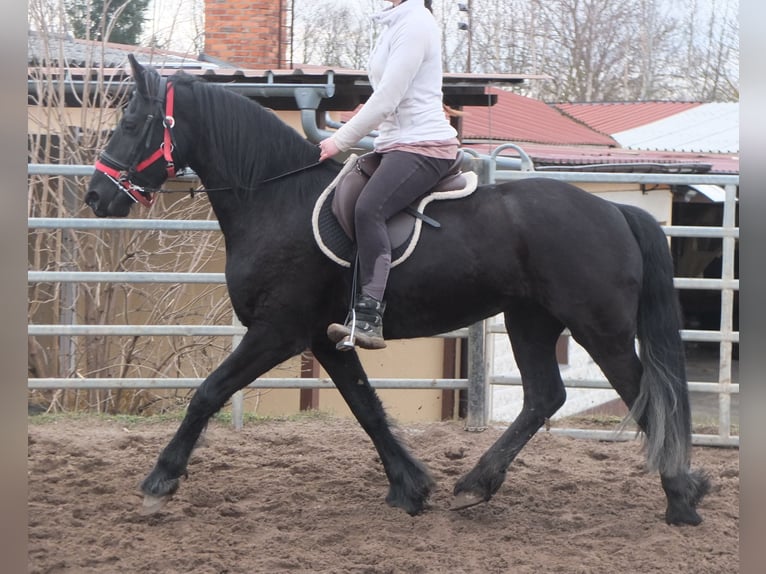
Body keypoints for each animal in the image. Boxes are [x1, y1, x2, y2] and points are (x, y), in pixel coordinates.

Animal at [82, 57, 708, 528]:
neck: (275, 199)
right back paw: (476, 484)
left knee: (642, 394)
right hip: (531, 320)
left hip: (599, 328)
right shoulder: (326, 338)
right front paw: (411, 488)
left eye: (132, 121)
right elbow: (367, 409)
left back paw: (681, 498)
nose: (96, 196)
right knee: (544, 397)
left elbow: (207, 394)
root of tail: (616, 210)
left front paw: (159, 482)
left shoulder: (278, 331)